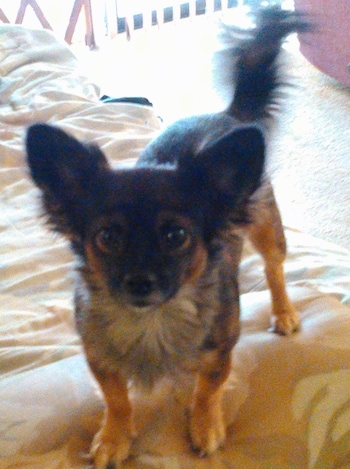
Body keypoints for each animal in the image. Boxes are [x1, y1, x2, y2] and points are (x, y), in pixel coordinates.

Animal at [25, 7, 308, 468]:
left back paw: (283, 312)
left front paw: (205, 425)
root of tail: (225, 116)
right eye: (108, 236)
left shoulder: (221, 347)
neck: (151, 320)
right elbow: (116, 397)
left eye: (176, 235)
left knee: (274, 268)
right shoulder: (98, 354)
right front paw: (114, 436)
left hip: (266, 225)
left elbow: (208, 388)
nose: (141, 282)